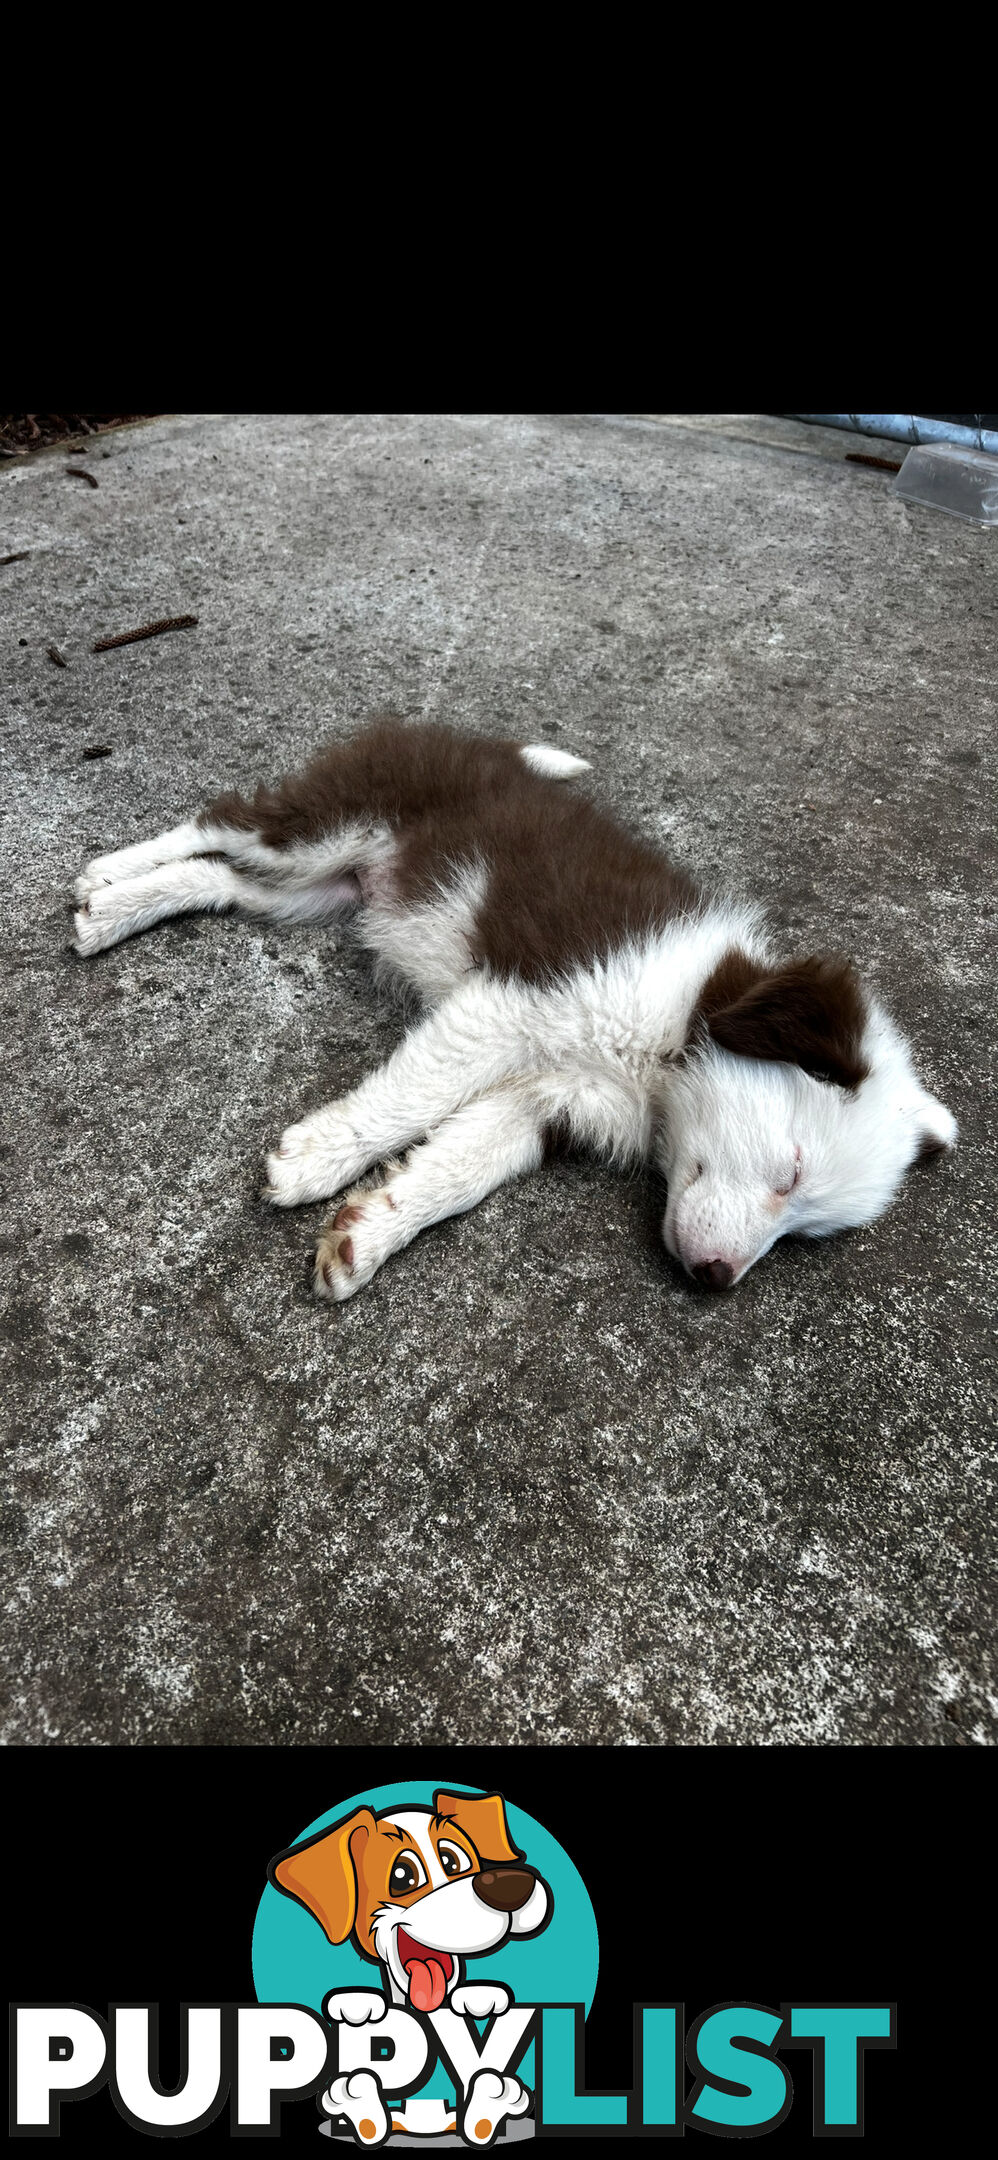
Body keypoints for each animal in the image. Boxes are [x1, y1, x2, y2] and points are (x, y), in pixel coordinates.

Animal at [73, 725, 954, 1296]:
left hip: (318, 892)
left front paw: (368, 1233)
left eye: (803, 1229)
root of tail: (471, 736)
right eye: (791, 1170)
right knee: (217, 821)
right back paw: (104, 874)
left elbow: (461, 1167)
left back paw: (118, 909)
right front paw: (318, 1158)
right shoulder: (514, 1003)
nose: (716, 1281)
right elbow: (413, 1097)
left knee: (219, 879)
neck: (669, 1043)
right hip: (327, 824)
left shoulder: (547, 1099)